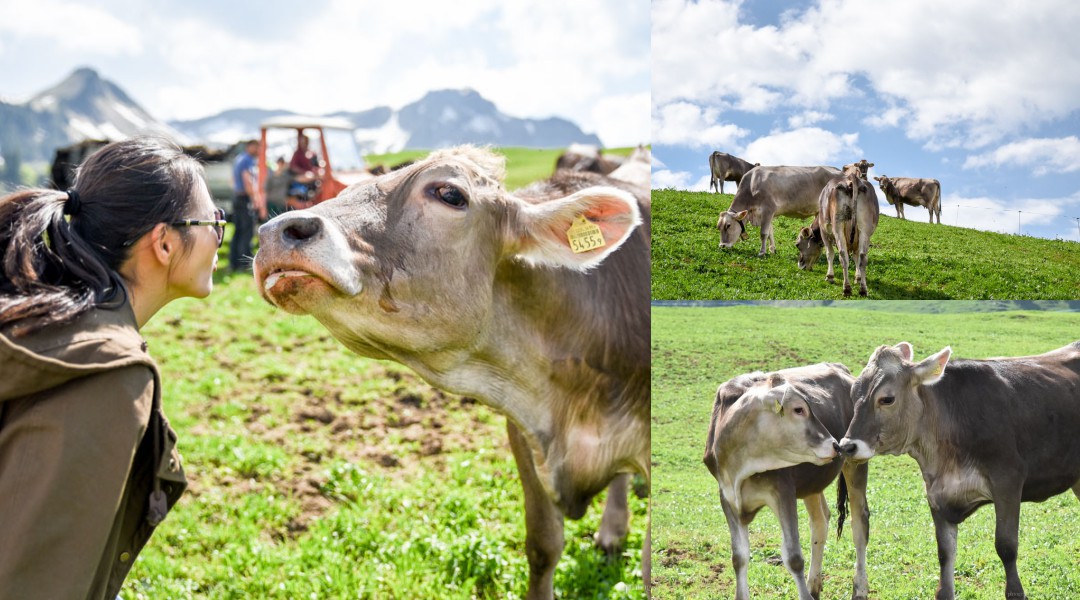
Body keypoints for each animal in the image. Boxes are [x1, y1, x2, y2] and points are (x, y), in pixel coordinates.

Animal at [704, 360, 872, 600]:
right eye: (799, 409)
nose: (835, 444)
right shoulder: (727, 496)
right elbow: (739, 556)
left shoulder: (783, 491)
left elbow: (793, 558)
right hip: (812, 483)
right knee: (820, 522)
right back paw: (813, 585)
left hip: (856, 462)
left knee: (859, 524)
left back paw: (859, 589)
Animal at [799, 165, 881, 295]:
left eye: (797, 245)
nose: (800, 265)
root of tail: (851, 178)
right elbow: (856, 257)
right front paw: (858, 278)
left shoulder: (824, 231)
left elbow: (830, 253)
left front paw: (830, 276)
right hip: (865, 229)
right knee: (863, 257)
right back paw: (863, 289)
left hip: (838, 226)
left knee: (843, 255)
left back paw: (846, 288)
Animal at [838, 343, 1080, 600]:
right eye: (853, 395)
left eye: (887, 399)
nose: (847, 446)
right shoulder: (936, 494)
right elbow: (945, 554)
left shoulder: (1008, 480)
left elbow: (1006, 546)